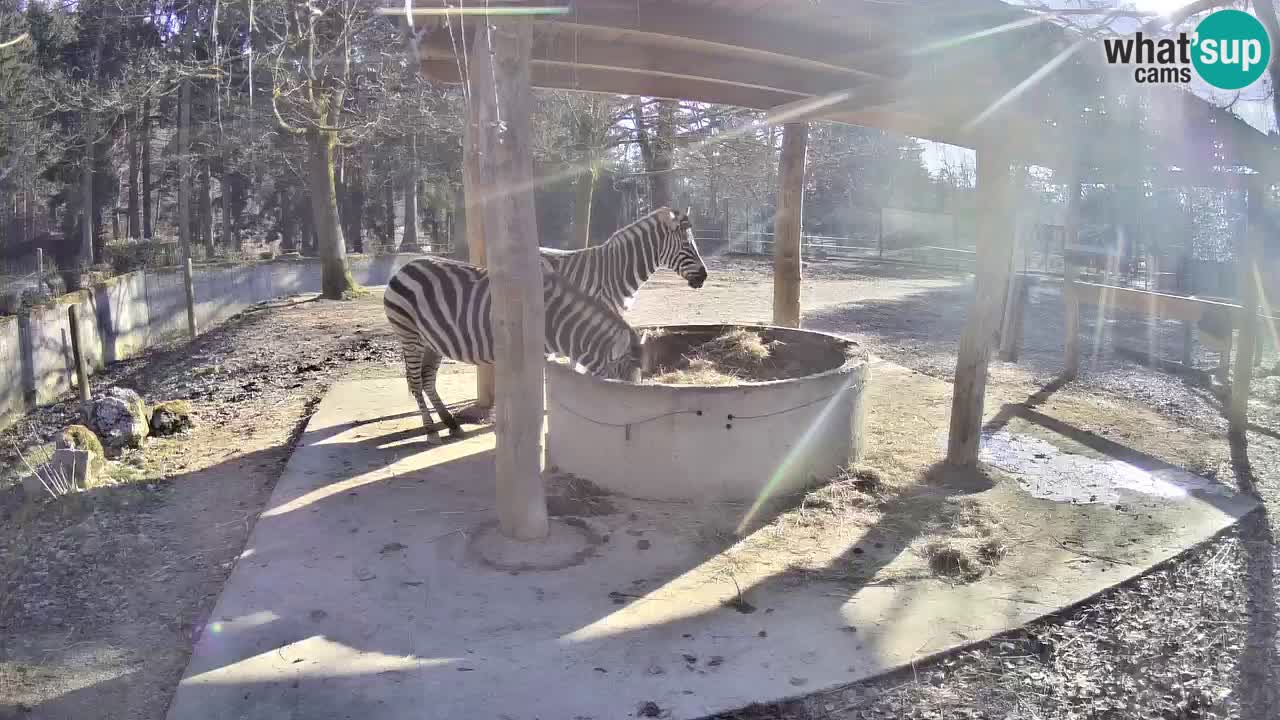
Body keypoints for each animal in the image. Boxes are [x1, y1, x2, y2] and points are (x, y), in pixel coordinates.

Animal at [378, 254, 640, 440]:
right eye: (621, 380)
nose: (627, 424)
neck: (553, 321)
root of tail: (405, 266)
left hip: (432, 342)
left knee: (427, 380)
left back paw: (451, 423)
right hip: (409, 334)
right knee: (416, 382)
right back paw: (431, 430)